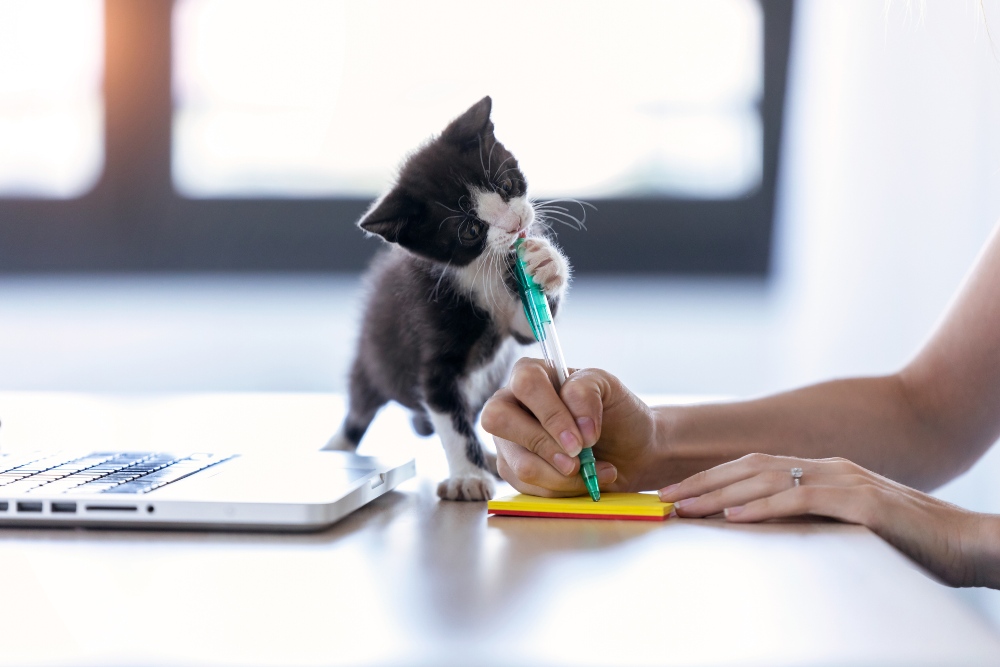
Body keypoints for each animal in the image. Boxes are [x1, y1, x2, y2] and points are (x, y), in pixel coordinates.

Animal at [324, 95, 568, 500]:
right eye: (470, 230)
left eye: (506, 184)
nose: (516, 224)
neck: (480, 270)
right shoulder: (428, 339)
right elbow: (450, 420)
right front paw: (467, 477)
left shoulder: (516, 311)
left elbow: (528, 327)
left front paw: (546, 263)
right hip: (371, 361)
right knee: (358, 411)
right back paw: (335, 449)